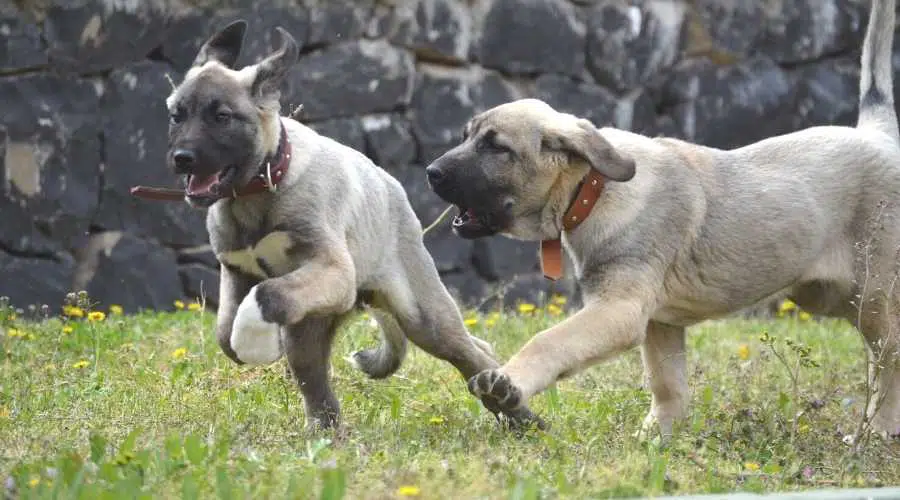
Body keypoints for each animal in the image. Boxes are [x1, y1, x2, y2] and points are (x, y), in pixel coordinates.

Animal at [163, 20, 536, 430]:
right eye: (177, 115)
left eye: (221, 117)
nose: (181, 158)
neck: (261, 187)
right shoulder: (236, 270)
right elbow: (225, 332)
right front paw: (252, 338)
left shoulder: (333, 269)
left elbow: (266, 296)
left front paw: (255, 340)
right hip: (312, 327)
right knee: (316, 384)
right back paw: (325, 433)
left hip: (423, 316)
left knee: (472, 351)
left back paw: (520, 412)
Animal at [426, 0, 900, 440]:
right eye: (467, 136)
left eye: (496, 147)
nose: (431, 172)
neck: (594, 189)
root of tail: (876, 134)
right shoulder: (660, 322)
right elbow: (667, 384)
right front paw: (656, 437)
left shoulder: (619, 310)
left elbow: (549, 341)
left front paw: (507, 384)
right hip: (831, 296)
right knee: (877, 357)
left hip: (874, 294)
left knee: (889, 355)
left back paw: (877, 431)